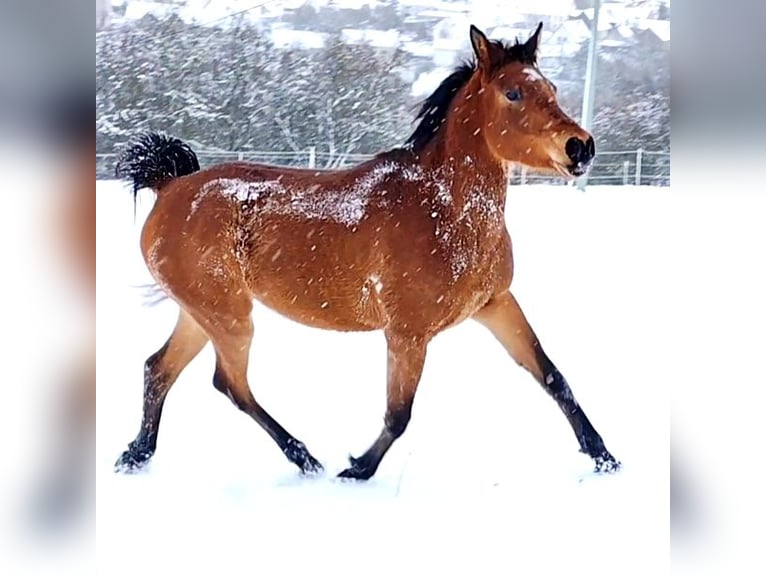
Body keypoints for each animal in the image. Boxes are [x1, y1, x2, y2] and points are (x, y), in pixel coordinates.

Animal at [113, 23, 620, 481]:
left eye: (551, 88)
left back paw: (136, 454)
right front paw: (358, 468)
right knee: (229, 384)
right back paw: (305, 458)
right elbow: (399, 413)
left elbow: (553, 378)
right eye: (513, 93)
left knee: (159, 369)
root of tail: (169, 186)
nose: (581, 147)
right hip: (227, 315)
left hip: (202, 313)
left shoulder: (496, 304)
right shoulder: (407, 333)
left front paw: (605, 457)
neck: (443, 209)